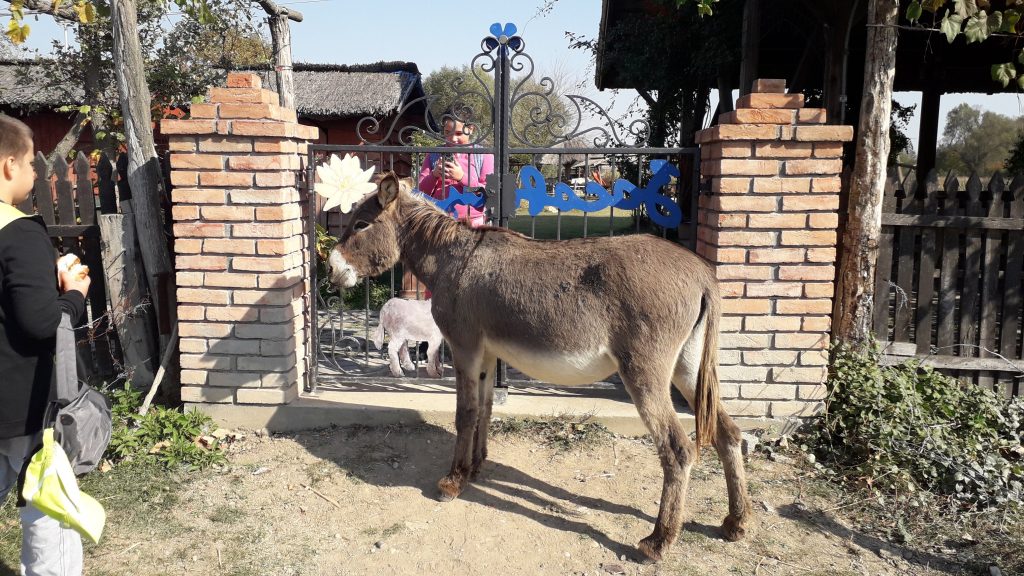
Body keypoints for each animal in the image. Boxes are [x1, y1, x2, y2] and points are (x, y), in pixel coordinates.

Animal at [328, 172, 752, 561]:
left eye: (360, 225)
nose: (331, 271)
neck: (454, 260)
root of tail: (701, 273)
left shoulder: (465, 347)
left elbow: (465, 414)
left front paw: (452, 481)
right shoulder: (488, 353)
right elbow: (485, 409)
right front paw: (476, 467)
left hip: (645, 371)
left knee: (678, 449)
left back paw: (658, 542)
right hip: (687, 365)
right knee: (728, 433)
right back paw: (736, 522)